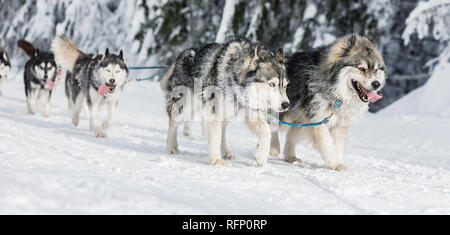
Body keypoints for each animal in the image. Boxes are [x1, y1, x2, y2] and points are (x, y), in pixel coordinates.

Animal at [162, 36, 288, 166]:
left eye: (284, 86)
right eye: (272, 84)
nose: (286, 105)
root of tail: (182, 55)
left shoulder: (251, 113)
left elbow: (266, 131)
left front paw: (261, 156)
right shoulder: (214, 113)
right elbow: (215, 138)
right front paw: (217, 161)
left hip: (226, 115)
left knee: (222, 132)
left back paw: (226, 152)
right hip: (185, 108)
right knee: (172, 124)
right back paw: (172, 147)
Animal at [270, 34, 386, 171]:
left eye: (376, 69)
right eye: (361, 69)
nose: (376, 84)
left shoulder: (338, 125)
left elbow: (338, 147)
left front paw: (339, 164)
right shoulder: (317, 121)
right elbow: (327, 144)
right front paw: (333, 162)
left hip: (300, 121)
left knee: (290, 136)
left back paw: (290, 156)